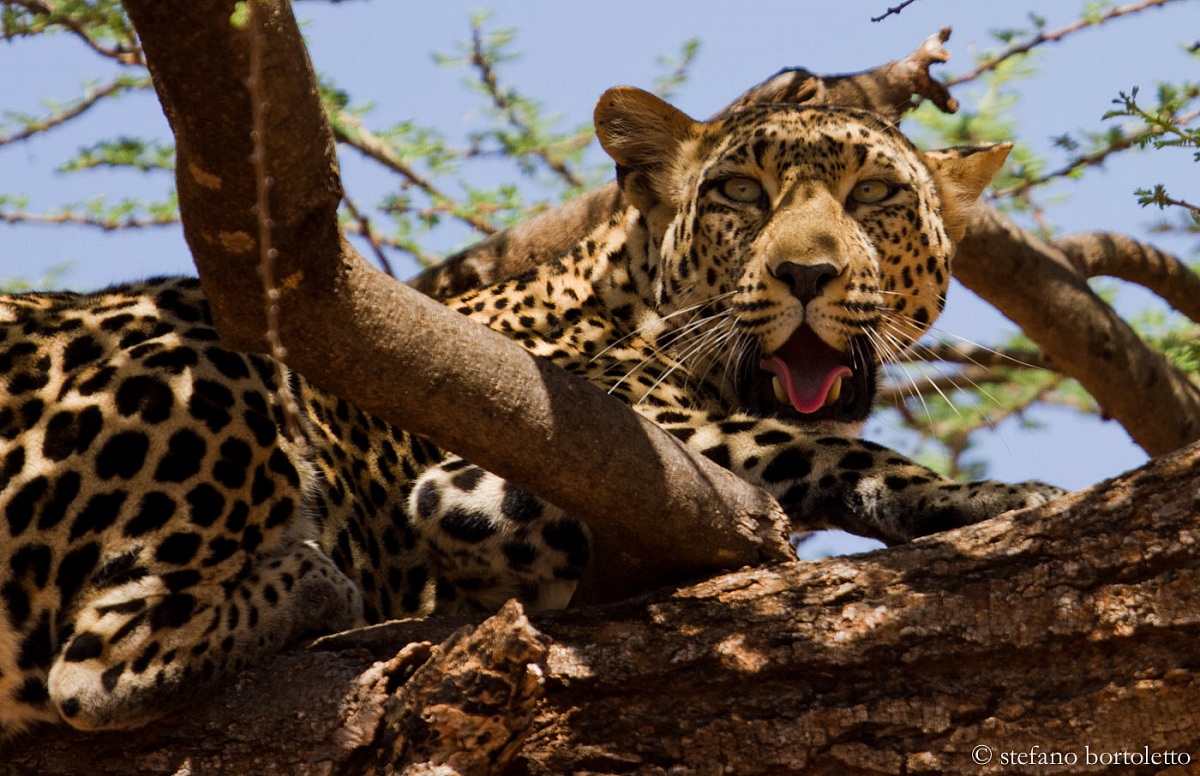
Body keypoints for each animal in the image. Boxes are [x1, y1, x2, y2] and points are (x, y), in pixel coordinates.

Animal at [0, 86, 1063, 735]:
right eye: (739, 192)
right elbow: (810, 453)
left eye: (876, 194)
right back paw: (314, 586)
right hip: (202, 349)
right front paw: (993, 498)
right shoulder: (554, 451)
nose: (807, 273)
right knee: (92, 670)